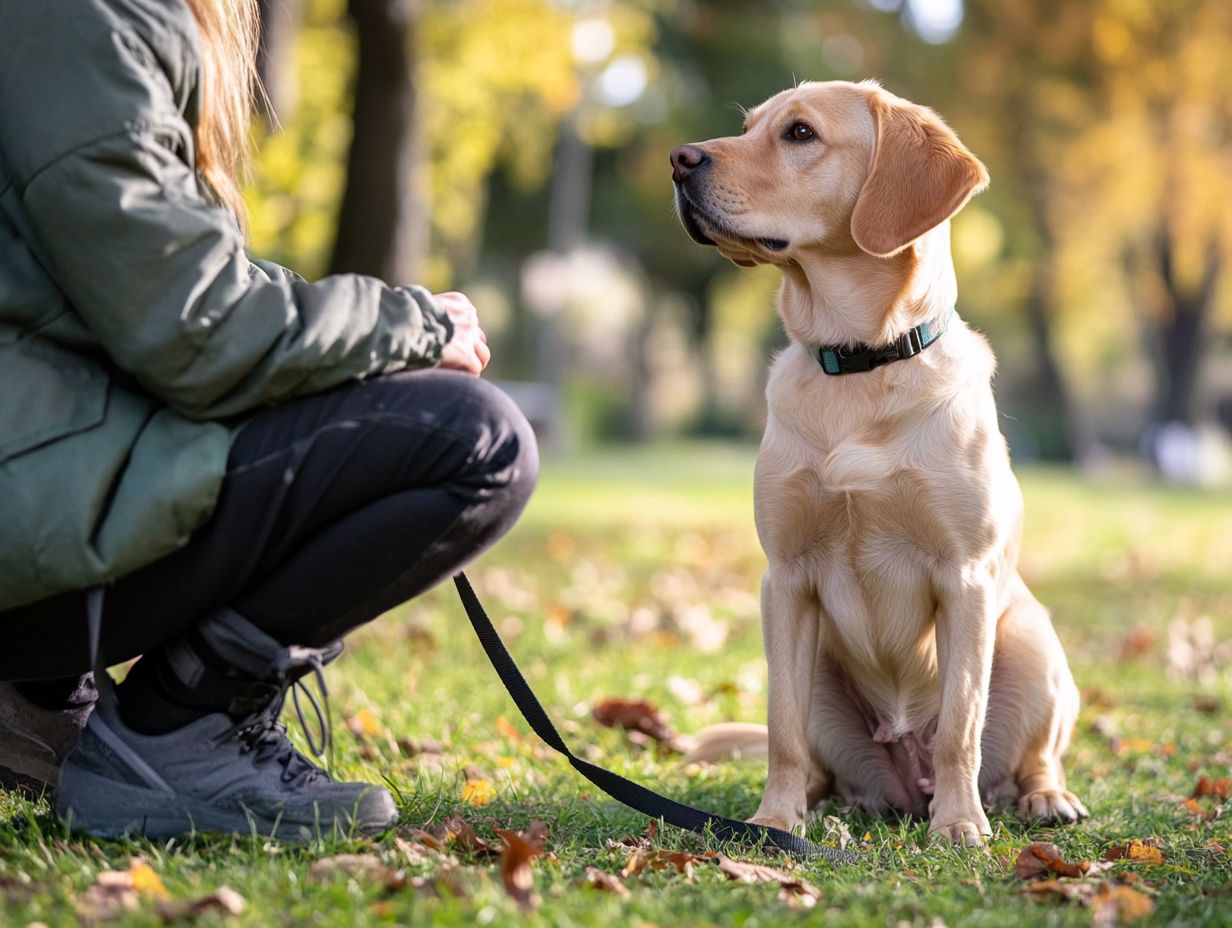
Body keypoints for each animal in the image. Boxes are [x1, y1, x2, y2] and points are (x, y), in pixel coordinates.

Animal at [670, 83, 1084, 842]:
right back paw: (821, 804)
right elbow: (781, 729)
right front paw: (774, 820)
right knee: (817, 761)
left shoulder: (965, 577)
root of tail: (902, 781)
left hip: (1032, 640)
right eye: (750, 126)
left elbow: (960, 724)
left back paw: (1041, 798)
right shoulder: (786, 579)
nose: (679, 160)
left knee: (1030, 756)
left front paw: (959, 826)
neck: (859, 362)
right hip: (822, 668)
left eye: (800, 133)